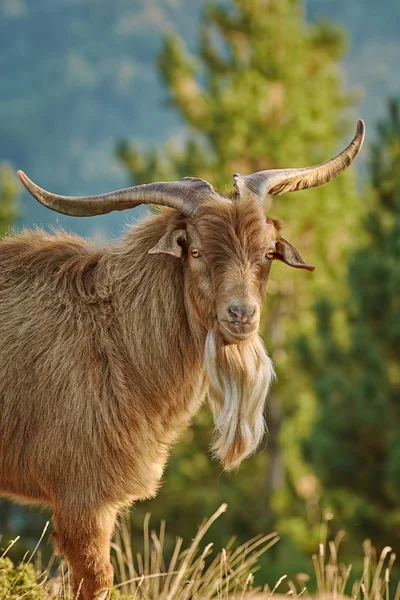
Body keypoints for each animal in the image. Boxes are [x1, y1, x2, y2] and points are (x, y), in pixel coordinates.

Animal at [0, 119, 364, 596]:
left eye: (268, 253)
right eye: (195, 251)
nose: (241, 315)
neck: (115, 340)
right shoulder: (82, 497)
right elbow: (96, 580)